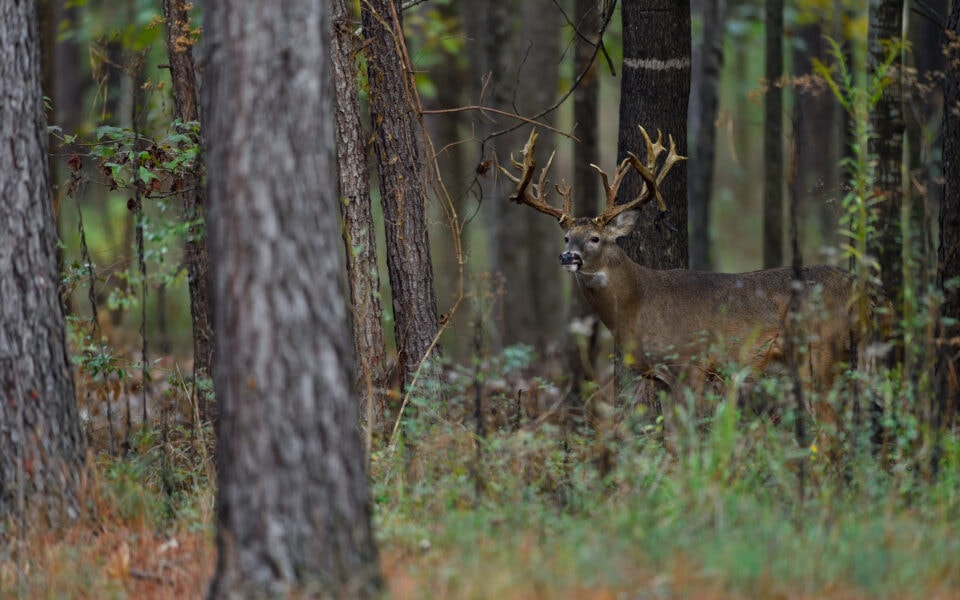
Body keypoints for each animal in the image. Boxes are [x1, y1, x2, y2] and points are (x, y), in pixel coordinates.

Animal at [498, 125, 872, 394]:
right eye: (566, 237)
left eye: (595, 238)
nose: (567, 256)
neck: (637, 303)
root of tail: (858, 289)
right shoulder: (660, 378)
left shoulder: (690, 364)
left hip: (818, 352)